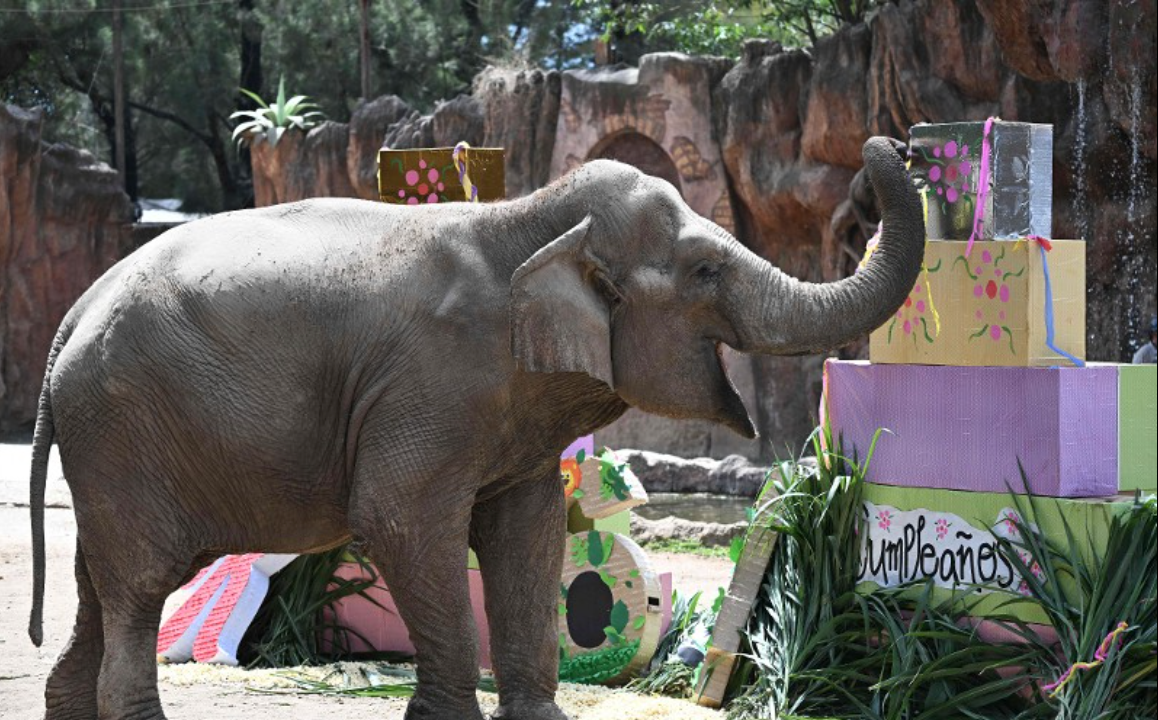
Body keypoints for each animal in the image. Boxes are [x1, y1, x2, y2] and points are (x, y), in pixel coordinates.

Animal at [27, 136, 922, 720]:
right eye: (705, 270)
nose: (887, 144)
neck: (525, 217)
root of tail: (70, 318)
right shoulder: (432, 387)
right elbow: (401, 519)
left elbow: (528, 532)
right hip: (123, 429)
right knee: (140, 586)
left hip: (110, 445)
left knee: (97, 588)